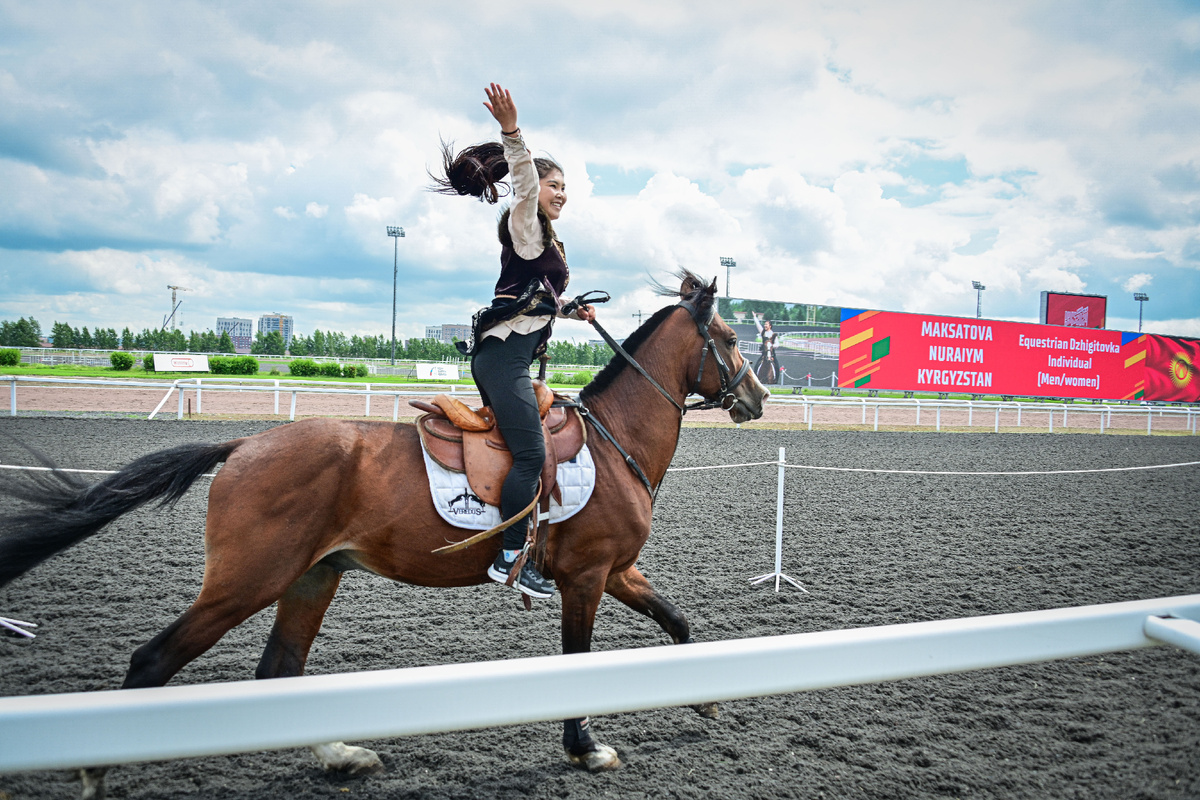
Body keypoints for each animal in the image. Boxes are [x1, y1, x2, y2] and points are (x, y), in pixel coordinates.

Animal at [0, 271, 768, 796]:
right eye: (731, 340)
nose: (758, 397)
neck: (614, 444)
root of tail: (245, 444)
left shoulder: (616, 570)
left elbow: (678, 620)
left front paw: (704, 692)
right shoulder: (585, 579)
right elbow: (577, 665)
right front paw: (585, 748)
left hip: (312, 576)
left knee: (278, 670)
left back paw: (342, 755)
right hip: (246, 582)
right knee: (152, 662)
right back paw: (95, 772)